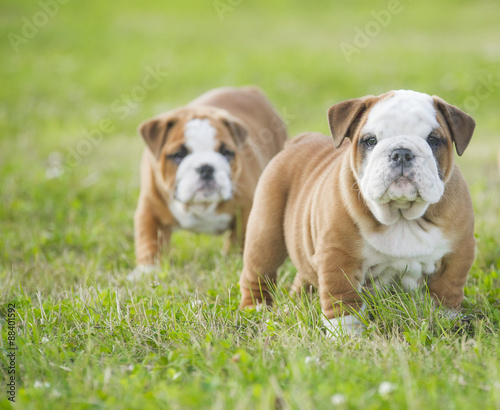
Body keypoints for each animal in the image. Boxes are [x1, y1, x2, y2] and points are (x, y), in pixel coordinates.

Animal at [135, 85, 288, 270]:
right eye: (179, 155)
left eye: (226, 152)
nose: (206, 168)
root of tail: (248, 90)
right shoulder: (149, 208)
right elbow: (149, 241)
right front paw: (147, 270)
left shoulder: (246, 208)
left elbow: (241, 237)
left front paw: (234, 261)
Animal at [240, 91, 474, 338]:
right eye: (370, 141)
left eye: (433, 140)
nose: (401, 152)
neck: (401, 216)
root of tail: (301, 140)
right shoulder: (338, 257)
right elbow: (343, 302)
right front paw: (346, 337)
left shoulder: (457, 256)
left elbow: (446, 292)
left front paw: (447, 323)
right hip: (265, 233)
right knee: (257, 273)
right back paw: (255, 309)